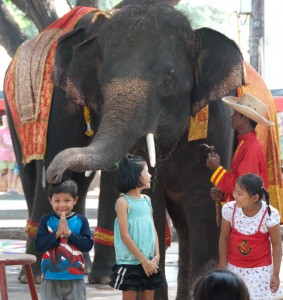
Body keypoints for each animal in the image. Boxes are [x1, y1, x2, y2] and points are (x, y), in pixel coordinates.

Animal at [41, 1, 247, 298]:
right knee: (182, 225)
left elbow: (207, 208)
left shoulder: (215, 125)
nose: (55, 175)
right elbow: (150, 203)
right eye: (102, 83)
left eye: (168, 81)